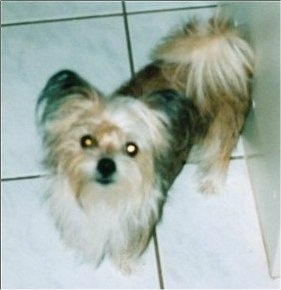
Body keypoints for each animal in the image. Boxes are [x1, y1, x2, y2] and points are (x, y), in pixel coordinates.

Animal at [36, 14, 253, 274]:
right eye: (86, 140)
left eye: (132, 148)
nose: (106, 165)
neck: (105, 196)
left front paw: (126, 264)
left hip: (222, 125)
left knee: (221, 152)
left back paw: (212, 182)